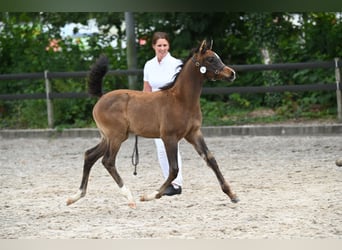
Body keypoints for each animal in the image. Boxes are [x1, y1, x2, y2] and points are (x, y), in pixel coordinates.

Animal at [66, 40, 238, 208]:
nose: (232, 73)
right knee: (107, 161)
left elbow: (211, 159)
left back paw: (75, 196)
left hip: (108, 137)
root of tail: (101, 97)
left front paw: (232, 195)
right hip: (116, 137)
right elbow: (174, 169)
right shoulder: (169, 137)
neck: (181, 100)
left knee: (90, 155)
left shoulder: (194, 133)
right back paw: (129, 197)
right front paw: (151, 195)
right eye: (210, 59)